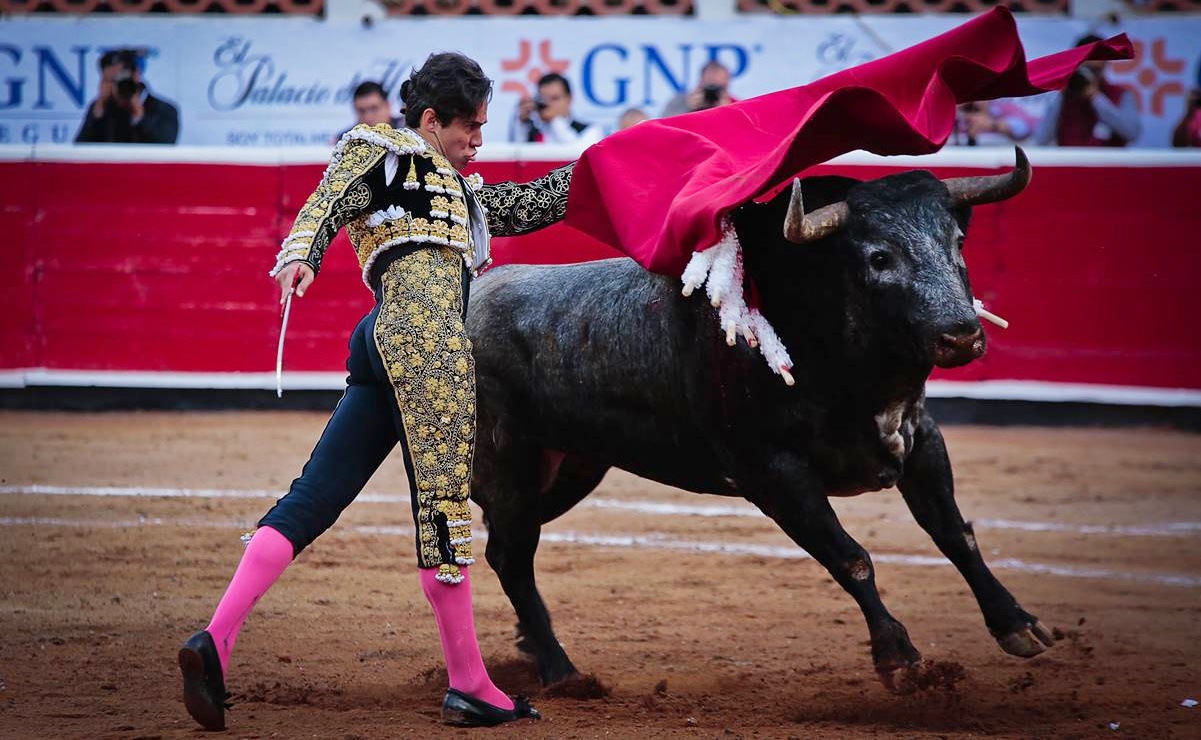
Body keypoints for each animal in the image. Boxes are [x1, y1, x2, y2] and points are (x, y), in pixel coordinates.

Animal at [463, 147, 1056, 691]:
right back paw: (562, 672)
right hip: (508, 467)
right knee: (511, 556)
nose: (961, 335)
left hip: (570, 469)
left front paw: (1018, 625)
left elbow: (955, 533)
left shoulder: (918, 438)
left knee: (506, 549)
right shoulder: (773, 473)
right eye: (878, 257)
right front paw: (899, 658)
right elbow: (851, 557)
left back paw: (535, 650)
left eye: (956, 241)